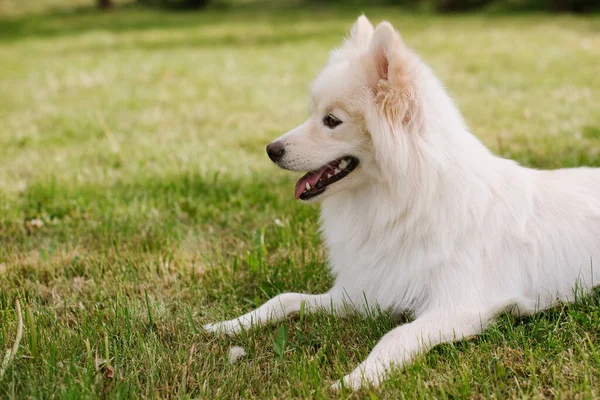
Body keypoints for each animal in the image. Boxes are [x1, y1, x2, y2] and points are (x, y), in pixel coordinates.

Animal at [205, 16, 600, 390]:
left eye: (331, 120)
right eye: (311, 113)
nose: (271, 150)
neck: (409, 200)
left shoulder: (458, 306)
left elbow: (395, 336)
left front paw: (357, 379)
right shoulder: (363, 290)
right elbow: (285, 299)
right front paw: (227, 325)